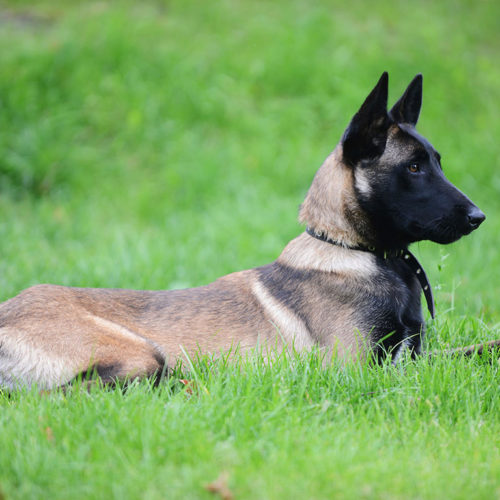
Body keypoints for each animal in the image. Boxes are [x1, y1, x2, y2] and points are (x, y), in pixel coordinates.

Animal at [0, 71, 484, 390]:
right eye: (414, 168)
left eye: (437, 162)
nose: (479, 216)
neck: (354, 252)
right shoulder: (356, 371)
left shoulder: (414, 356)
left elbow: (471, 352)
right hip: (142, 354)